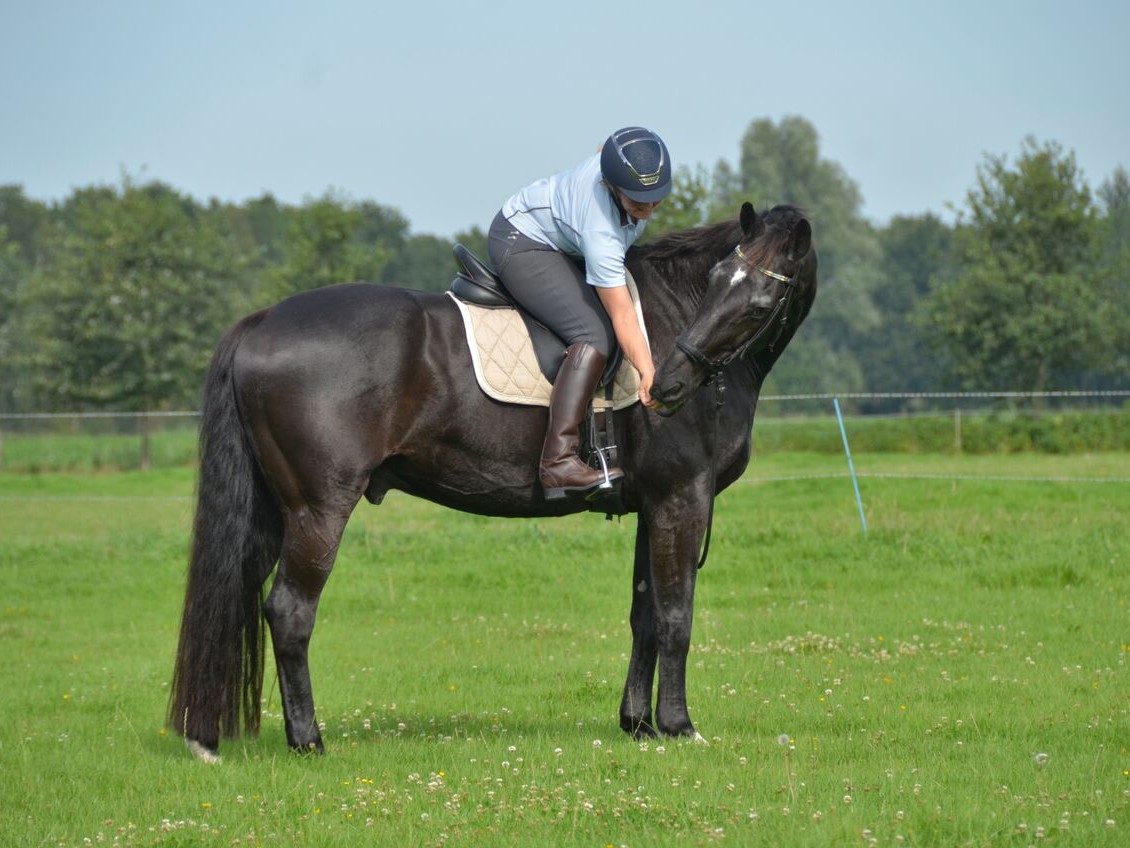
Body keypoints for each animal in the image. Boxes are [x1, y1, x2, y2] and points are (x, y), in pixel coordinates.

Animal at [167, 202, 818, 759]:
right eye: (718, 282)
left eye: (757, 301)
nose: (668, 386)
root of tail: (262, 321)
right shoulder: (682, 498)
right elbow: (676, 617)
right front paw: (679, 726)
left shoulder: (651, 505)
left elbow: (646, 616)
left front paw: (638, 724)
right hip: (318, 510)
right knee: (290, 612)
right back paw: (308, 740)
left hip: (271, 513)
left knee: (236, 598)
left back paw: (207, 736)